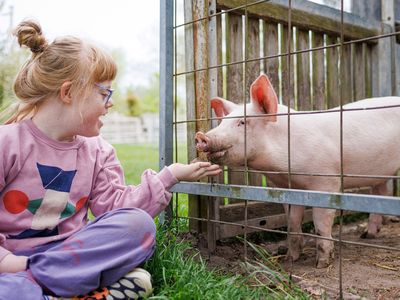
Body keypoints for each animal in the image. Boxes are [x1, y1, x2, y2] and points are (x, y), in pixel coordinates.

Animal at [195, 72, 400, 268]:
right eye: (222, 122)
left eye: (242, 122)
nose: (201, 136)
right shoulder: (287, 189)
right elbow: (292, 222)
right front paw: (290, 259)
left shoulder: (327, 181)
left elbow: (320, 223)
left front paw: (321, 264)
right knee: (381, 193)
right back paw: (368, 235)